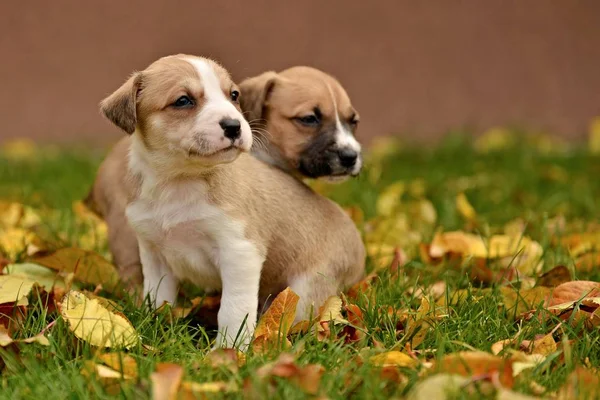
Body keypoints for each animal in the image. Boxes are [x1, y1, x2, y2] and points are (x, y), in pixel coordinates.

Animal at [97, 54, 366, 348]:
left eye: (233, 95)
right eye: (183, 100)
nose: (234, 126)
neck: (178, 182)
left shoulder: (239, 253)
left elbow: (233, 310)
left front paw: (229, 350)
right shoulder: (154, 255)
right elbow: (157, 299)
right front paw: (156, 330)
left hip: (305, 291)